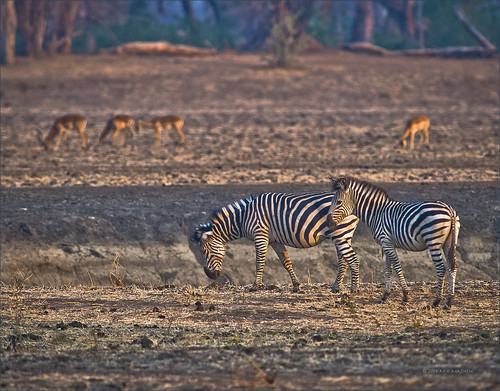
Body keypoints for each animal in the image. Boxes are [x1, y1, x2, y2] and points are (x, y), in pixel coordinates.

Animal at [189, 193, 362, 294]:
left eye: (203, 251)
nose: (211, 276)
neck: (243, 217)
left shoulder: (260, 234)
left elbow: (259, 262)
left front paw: (255, 286)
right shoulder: (275, 240)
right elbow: (286, 262)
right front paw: (296, 285)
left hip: (340, 232)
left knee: (348, 259)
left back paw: (351, 289)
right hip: (342, 234)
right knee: (343, 260)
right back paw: (336, 287)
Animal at [328, 177, 460, 310]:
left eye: (339, 202)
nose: (328, 223)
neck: (376, 213)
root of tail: (449, 210)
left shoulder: (386, 242)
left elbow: (396, 267)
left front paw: (405, 296)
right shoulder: (386, 244)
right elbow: (388, 269)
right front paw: (385, 296)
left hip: (433, 241)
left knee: (441, 268)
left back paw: (436, 301)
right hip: (449, 243)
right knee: (452, 267)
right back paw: (449, 301)